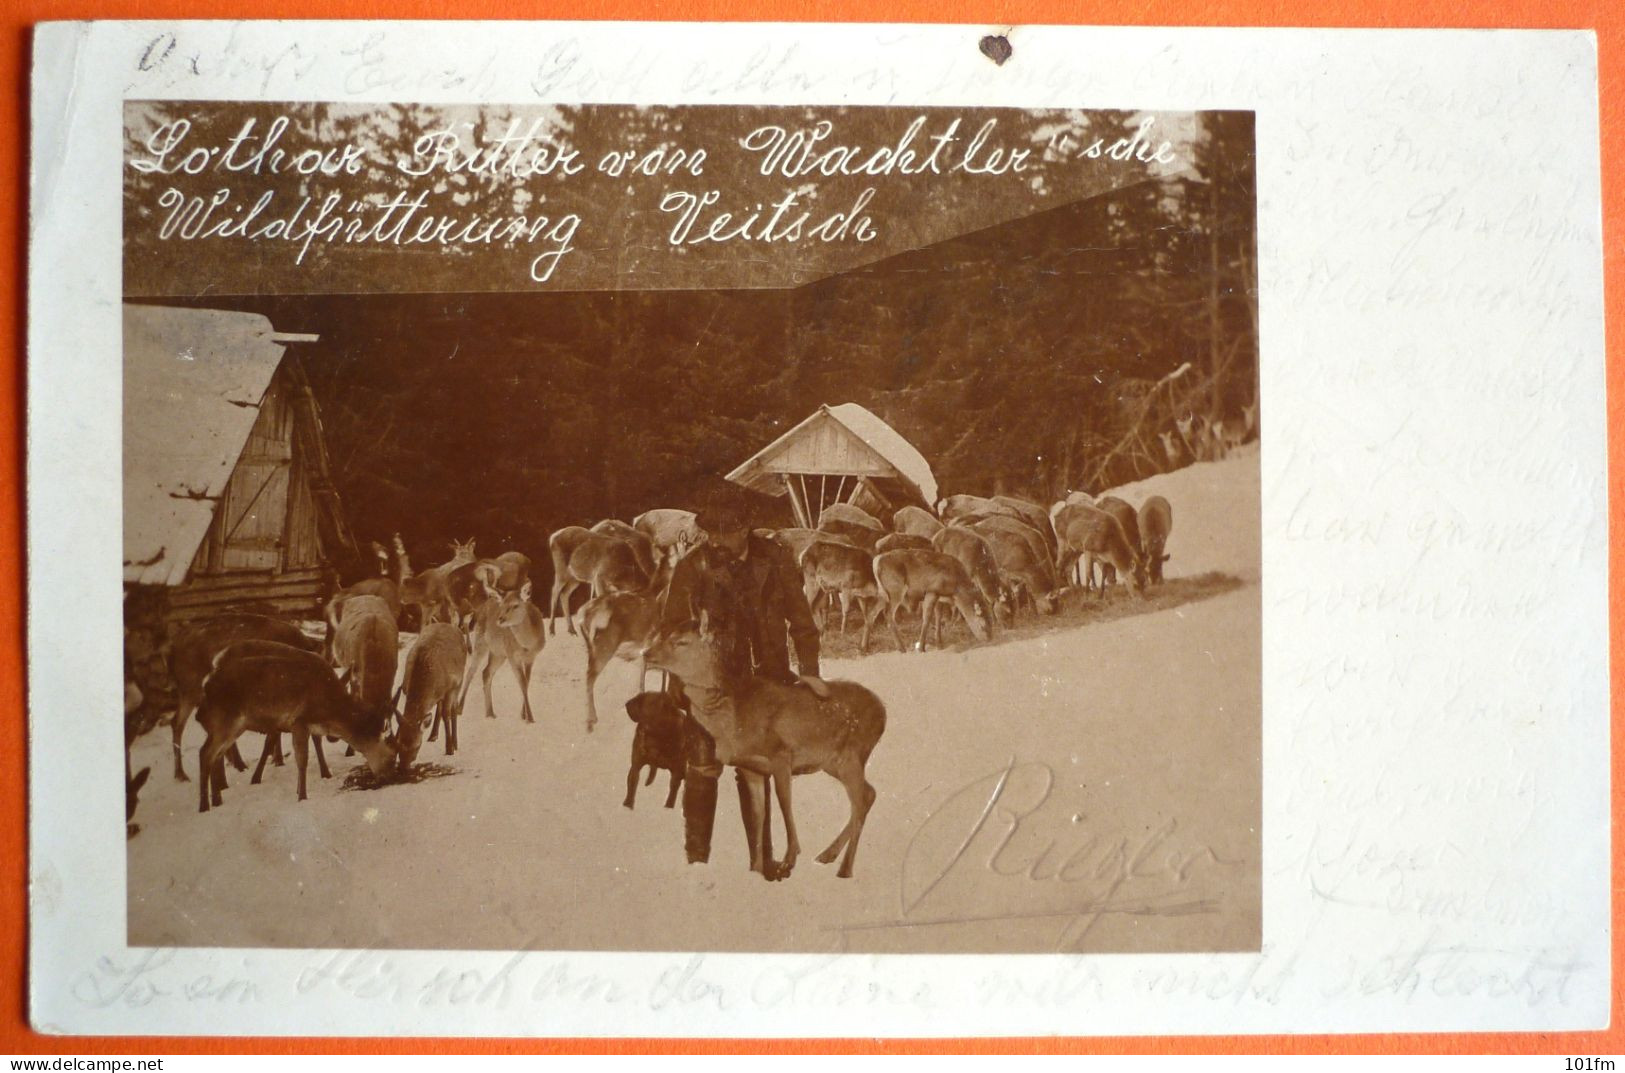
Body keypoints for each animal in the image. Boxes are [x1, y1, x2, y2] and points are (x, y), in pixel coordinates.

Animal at [195, 640, 398, 809]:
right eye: (392, 754)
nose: (389, 778)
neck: (329, 711)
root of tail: (205, 686)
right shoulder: (299, 720)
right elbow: (302, 759)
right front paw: (302, 796)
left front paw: (301, 789)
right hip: (224, 720)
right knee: (205, 753)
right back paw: (205, 805)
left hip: (234, 726)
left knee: (217, 754)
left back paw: (218, 799)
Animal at [461, 582, 549, 725]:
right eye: (502, 605)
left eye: (516, 605)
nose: (500, 619)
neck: (528, 644)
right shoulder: (512, 655)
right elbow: (522, 683)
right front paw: (530, 718)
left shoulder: (531, 658)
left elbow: (527, 682)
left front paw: (523, 715)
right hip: (481, 641)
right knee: (471, 671)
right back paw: (459, 708)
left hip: (498, 653)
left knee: (486, 672)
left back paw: (490, 713)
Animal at [640, 611, 890, 877]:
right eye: (664, 634)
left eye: (681, 642)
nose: (646, 653)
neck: (736, 718)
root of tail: (883, 711)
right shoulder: (751, 767)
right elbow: (757, 817)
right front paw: (758, 869)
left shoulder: (780, 753)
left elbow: (784, 803)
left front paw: (789, 858)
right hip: (833, 762)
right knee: (869, 793)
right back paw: (826, 855)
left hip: (851, 754)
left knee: (860, 800)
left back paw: (844, 869)